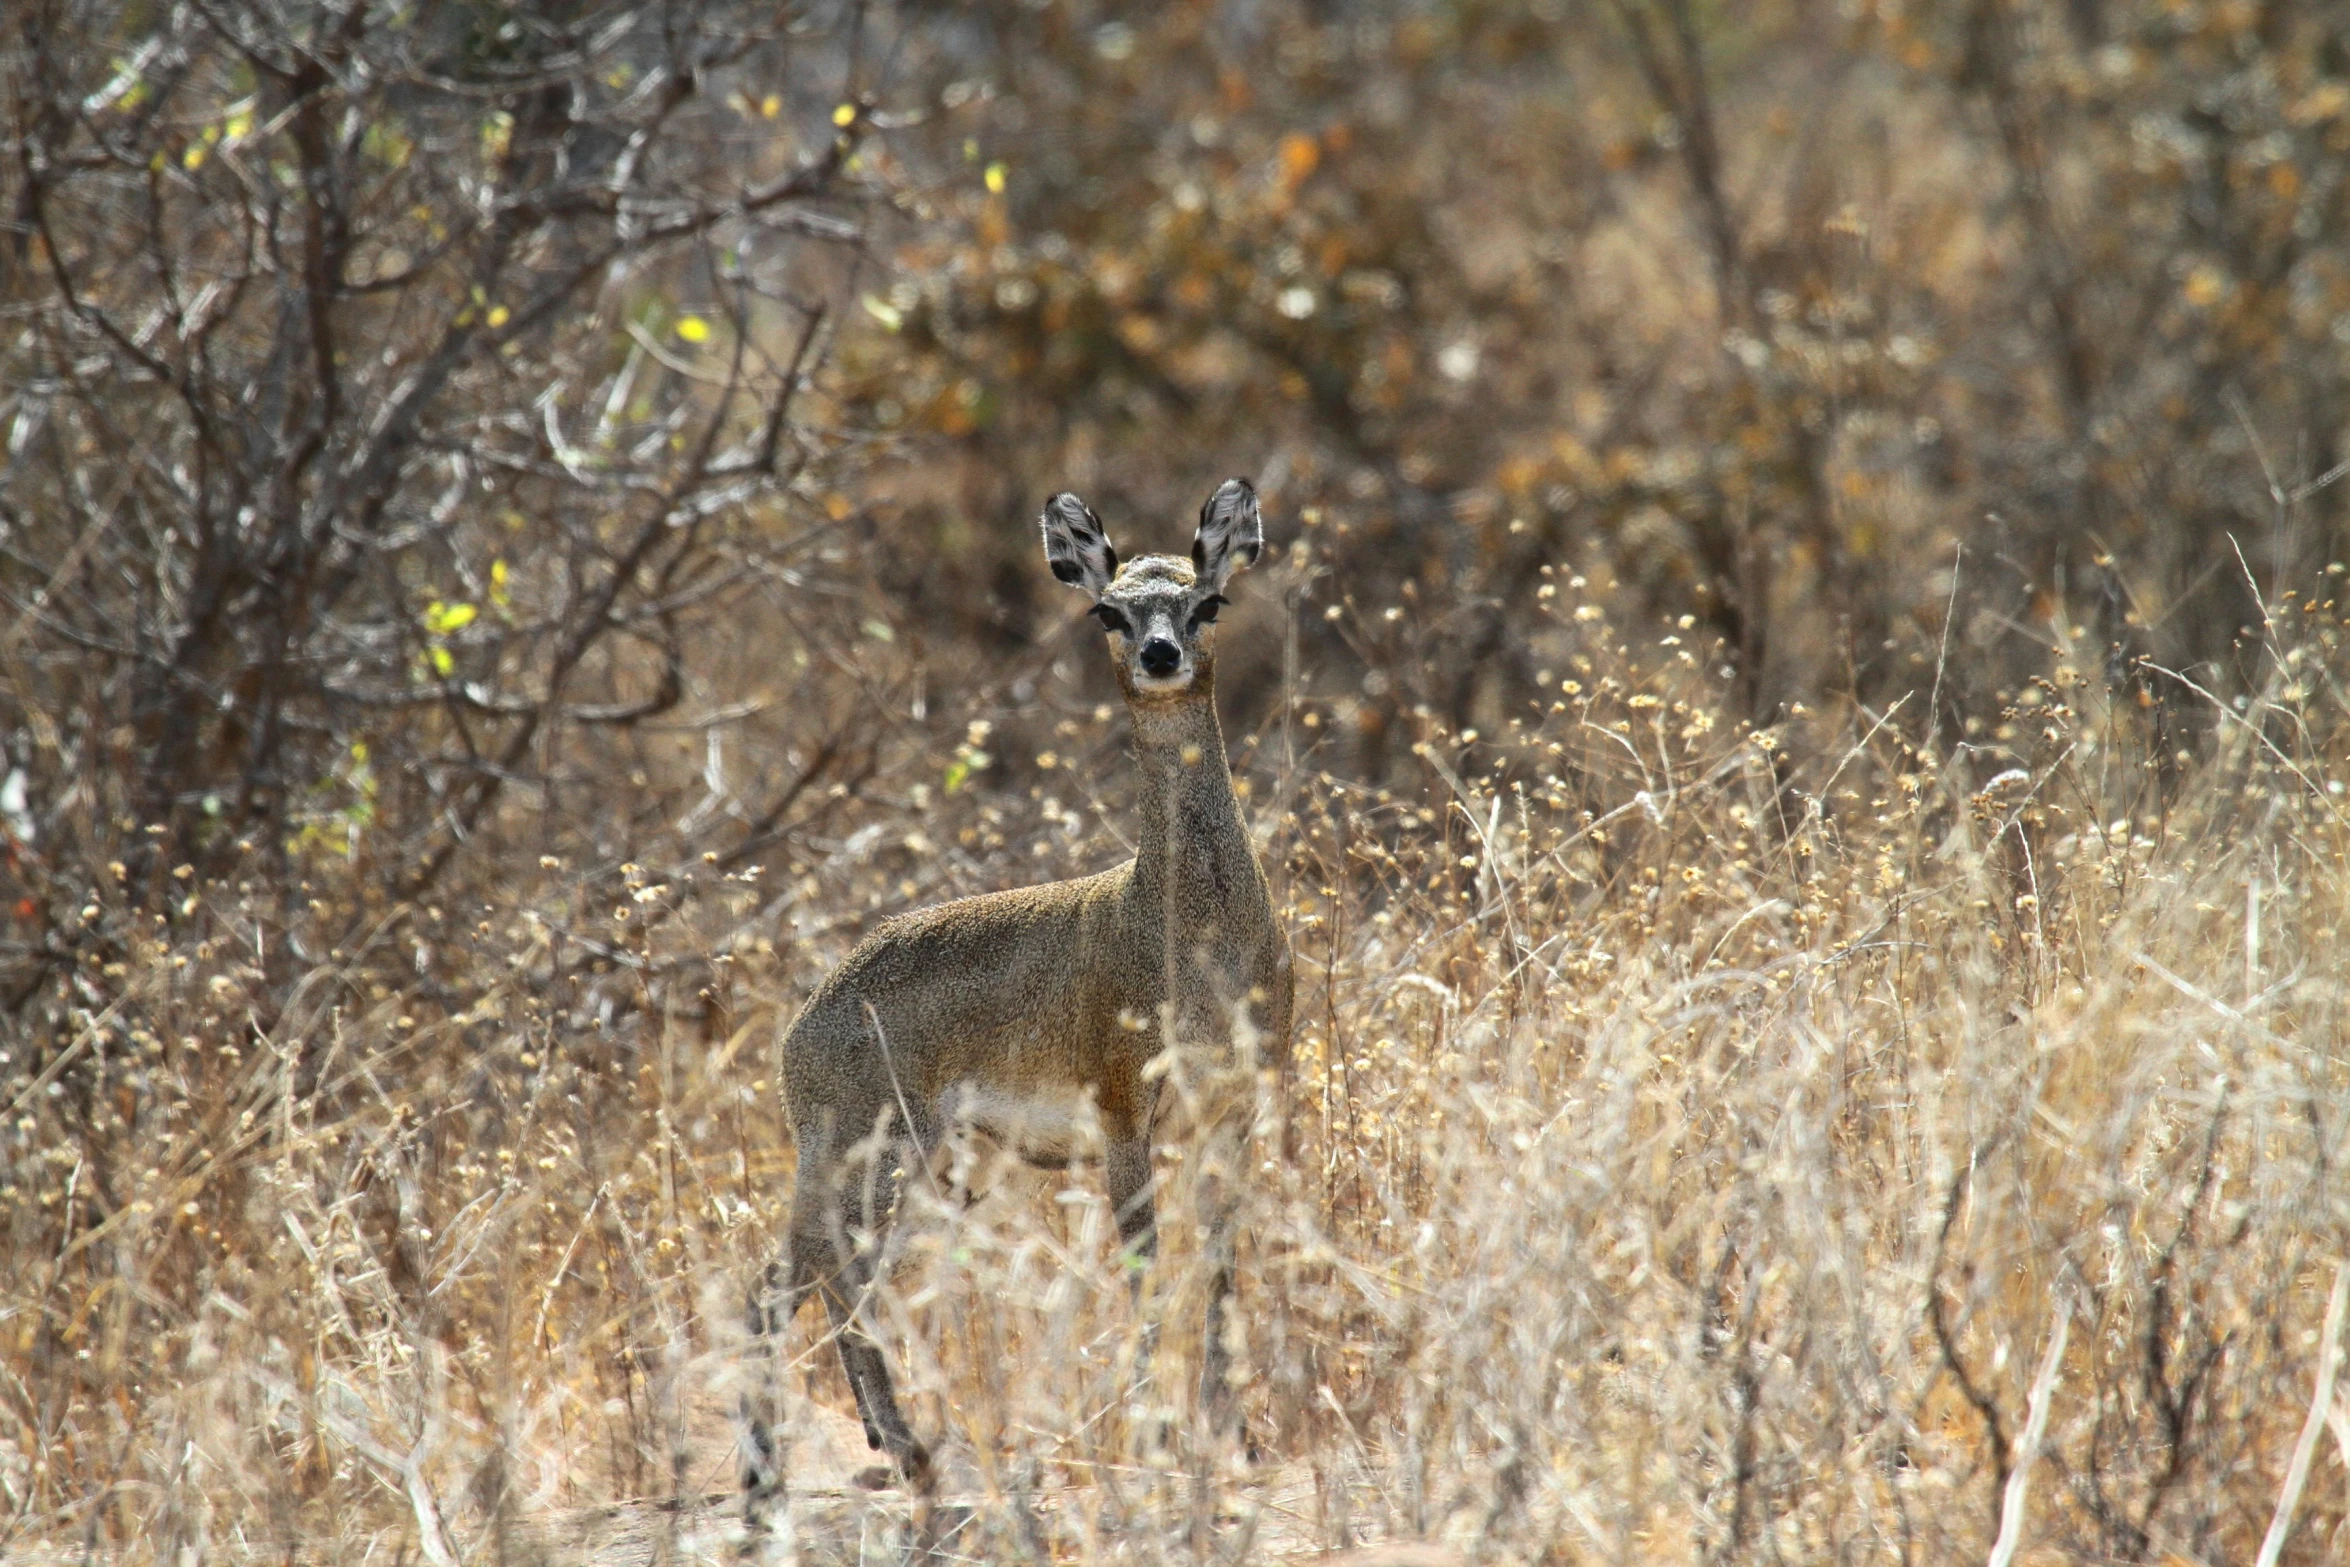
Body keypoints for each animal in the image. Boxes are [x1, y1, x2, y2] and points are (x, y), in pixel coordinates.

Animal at [742, 474, 1297, 1494]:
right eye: (1107, 610)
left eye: (1209, 600)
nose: (1160, 654)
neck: (1198, 940)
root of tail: (800, 1026)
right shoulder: (1124, 1114)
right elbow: (1145, 1265)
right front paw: (1156, 1435)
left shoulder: (1237, 1108)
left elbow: (1222, 1264)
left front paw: (1232, 1435)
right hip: (863, 1154)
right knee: (788, 1282)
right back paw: (834, 1459)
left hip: (937, 1171)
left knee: (828, 1280)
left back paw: (877, 1449)